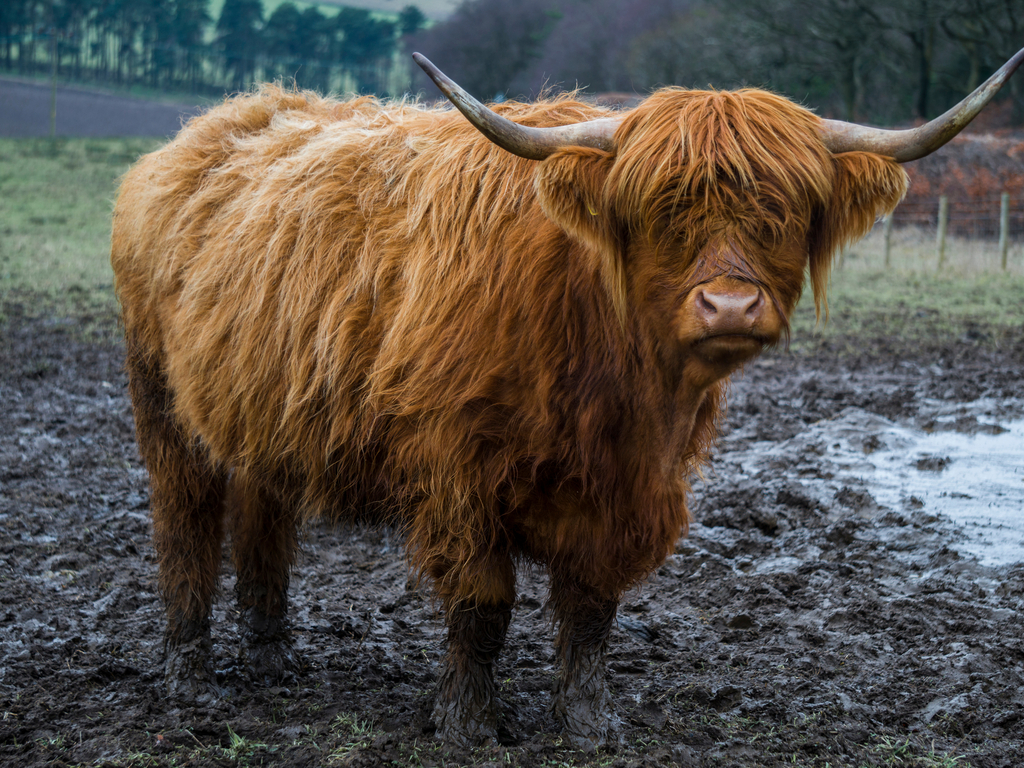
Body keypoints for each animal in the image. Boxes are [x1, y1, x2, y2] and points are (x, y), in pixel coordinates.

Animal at [112, 51, 1024, 749]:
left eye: (785, 210)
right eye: (662, 211)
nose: (730, 307)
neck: (613, 376)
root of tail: (214, 128)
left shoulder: (632, 485)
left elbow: (592, 609)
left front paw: (588, 722)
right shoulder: (457, 472)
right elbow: (483, 606)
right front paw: (467, 723)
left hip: (255, 414)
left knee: (263, 520)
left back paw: (272, 657)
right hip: (162, 405)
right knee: (185, 524)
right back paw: (189, 671)